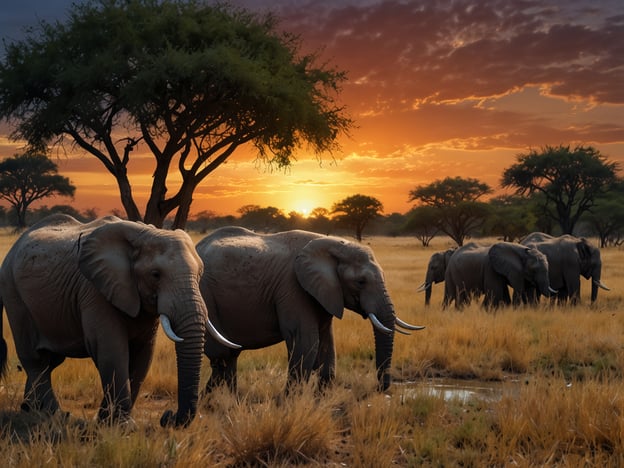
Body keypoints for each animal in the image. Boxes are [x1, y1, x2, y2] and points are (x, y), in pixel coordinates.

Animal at [0, 215, 240, 428]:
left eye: (200, 274)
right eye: (155, 275)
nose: (167, 417)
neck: (142, 234)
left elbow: (143, 354)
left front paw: (109, 422)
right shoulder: (95, 290)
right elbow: (112, 351)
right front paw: (122, 427)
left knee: (51, 361)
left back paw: (31, 409)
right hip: (13, 293)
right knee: (35, 360)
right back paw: (56, 415)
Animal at [196, 225, 424, 394]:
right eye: (360, 282)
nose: (380, 389)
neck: (332, 245)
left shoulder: (324, 293)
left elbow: (327, 344)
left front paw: (318, 401)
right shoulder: (292, 287)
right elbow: (306, 341)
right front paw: (287, 405)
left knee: (230, 356)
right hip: (205, 293)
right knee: (222, 355)